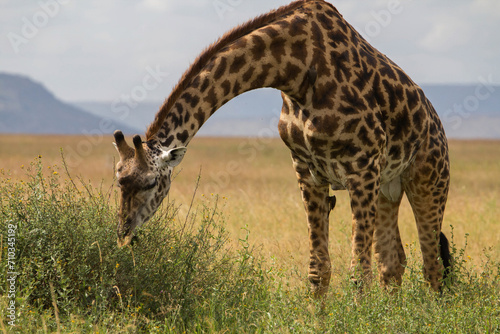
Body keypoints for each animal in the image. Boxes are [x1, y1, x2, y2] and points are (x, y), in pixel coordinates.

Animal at [113, 1, 454, 296]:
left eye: (151, 183)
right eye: (118, 182)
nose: (123, 234)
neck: (295, 72)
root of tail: (437, 124)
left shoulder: (362, 167)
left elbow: (359, 272)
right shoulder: (306, 169)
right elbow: (319, 270)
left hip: (428, 179)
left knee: (432, 264)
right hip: (388, 187)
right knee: (393, 263)